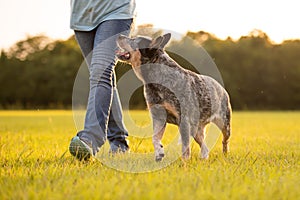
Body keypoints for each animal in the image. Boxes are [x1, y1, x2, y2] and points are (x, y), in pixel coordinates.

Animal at [115, 32, 232, 161]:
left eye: (135, 40)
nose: (119, 35)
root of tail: (221, 87)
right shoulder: (158, 117)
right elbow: (155, 138)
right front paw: (159, 153)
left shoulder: (183, 119)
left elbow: (185, 147)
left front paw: (184, 162)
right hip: (196, 130)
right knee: (205, 147)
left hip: (224, 124)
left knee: (225, 141)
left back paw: (225, 155)